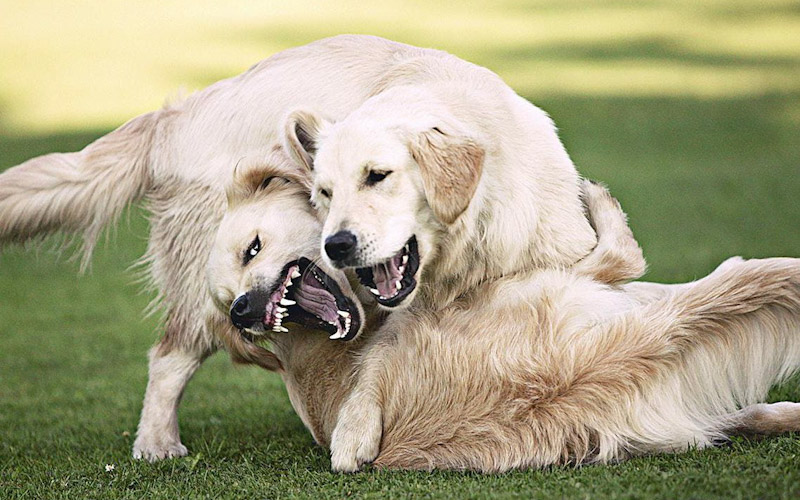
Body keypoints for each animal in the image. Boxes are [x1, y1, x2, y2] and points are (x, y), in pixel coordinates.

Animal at [0, 35, 520, 460]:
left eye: (255, 248)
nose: (243, 309)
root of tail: (172, 120)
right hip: (198, 277)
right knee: (168, 356)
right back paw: (156, 444)